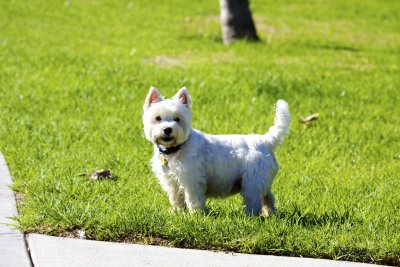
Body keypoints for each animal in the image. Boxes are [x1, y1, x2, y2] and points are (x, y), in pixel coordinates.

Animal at [144, 87, 290, 217]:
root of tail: (266, 141)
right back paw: (270, 214)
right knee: (269, 198)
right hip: (261, 181)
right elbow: (176, 199)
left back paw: (250, 217)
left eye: (177, 119)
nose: (167, 129)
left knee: (254, 202)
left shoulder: (192, 180)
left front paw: (196, 216)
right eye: (158, 118)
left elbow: (193, 200)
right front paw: (177, 213)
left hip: (252, 182)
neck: (176, 149)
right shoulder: (172, 182)